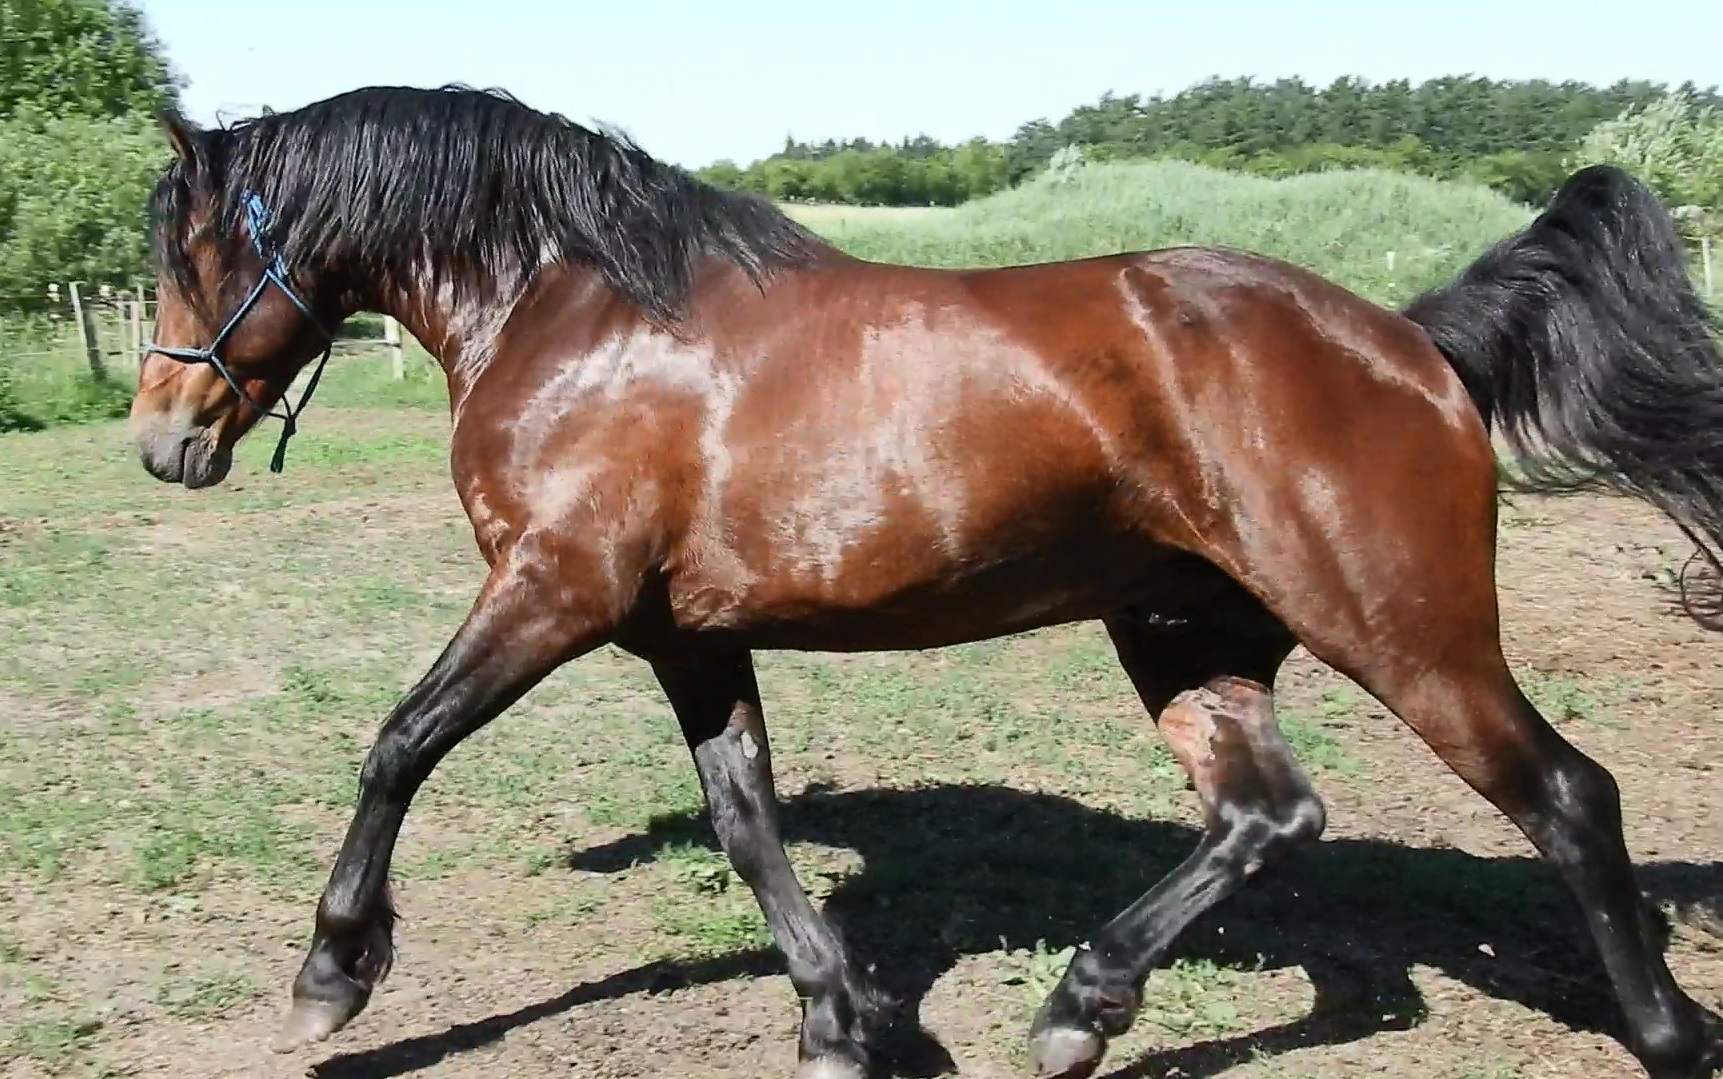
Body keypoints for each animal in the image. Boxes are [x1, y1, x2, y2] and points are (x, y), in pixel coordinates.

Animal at [127, 86, 1716, 1075]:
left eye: (191, 252)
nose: (162, 437)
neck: (575, 319)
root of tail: (1408, 338)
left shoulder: (554, 592)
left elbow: (398, 741)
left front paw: (333, 974)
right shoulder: (679, 636)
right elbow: (746, 820)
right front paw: (840, 1020)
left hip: (1403, 631)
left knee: (1567, 795)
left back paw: (1668, 1032)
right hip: (1182, 632)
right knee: (1270, 813)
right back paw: (1078, 1005)